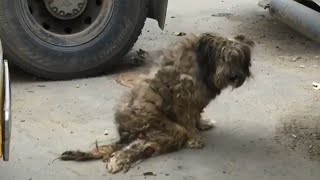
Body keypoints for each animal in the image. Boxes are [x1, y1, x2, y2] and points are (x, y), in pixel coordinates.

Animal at [59, 33, 255, 174]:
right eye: (224, 58)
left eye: (238, 58)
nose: (234, 76)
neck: (203, 64)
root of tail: (125, 133)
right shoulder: (183, 99)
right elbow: (189, 120)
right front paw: (196, 138)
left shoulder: (196, 101)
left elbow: (197, 114)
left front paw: (202, 124)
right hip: (169, 129)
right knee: (135, 147)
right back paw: (117, 161)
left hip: (160, 136)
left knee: (141, 147)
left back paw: (117, 159)